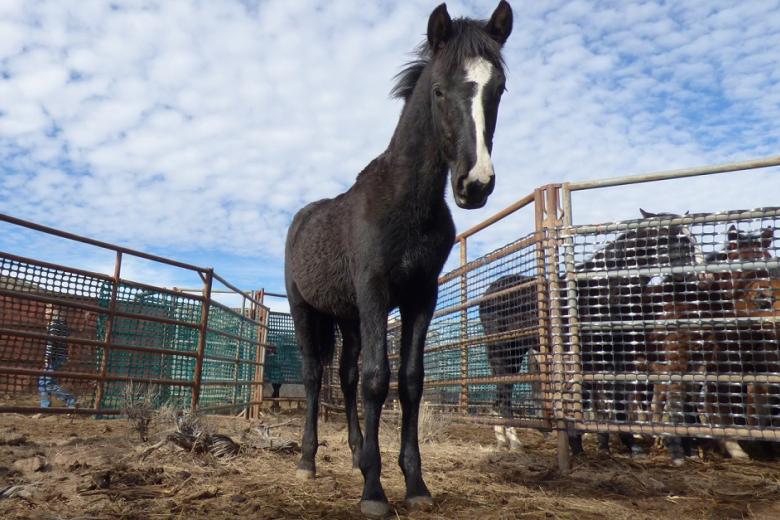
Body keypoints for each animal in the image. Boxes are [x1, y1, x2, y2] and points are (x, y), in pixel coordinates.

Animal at [284, 3, 513, 516]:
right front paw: (374, 490)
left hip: (346, 318)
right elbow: (377, 380)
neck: (407, 203)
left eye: (499, 89)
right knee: (314, 377)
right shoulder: (375, 292)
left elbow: (408, 382)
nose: (475, 184)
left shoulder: (419, 298)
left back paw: (354, 452)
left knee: (345, 377)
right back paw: (308, 461)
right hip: (304, 310)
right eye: (439, 89)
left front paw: (415, 484)